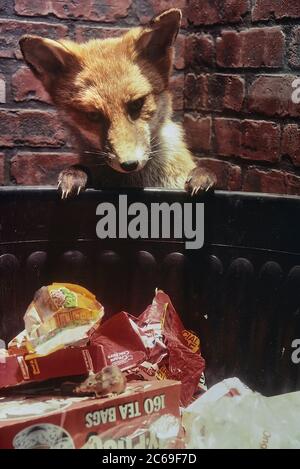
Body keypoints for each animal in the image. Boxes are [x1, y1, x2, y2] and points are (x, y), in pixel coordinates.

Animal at [19, 8, 216, 197]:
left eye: (137, 104)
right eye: (93, 115)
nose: (129, 164)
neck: (134, 182)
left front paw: (202, 174)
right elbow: (80, 169)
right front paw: (75, 174)